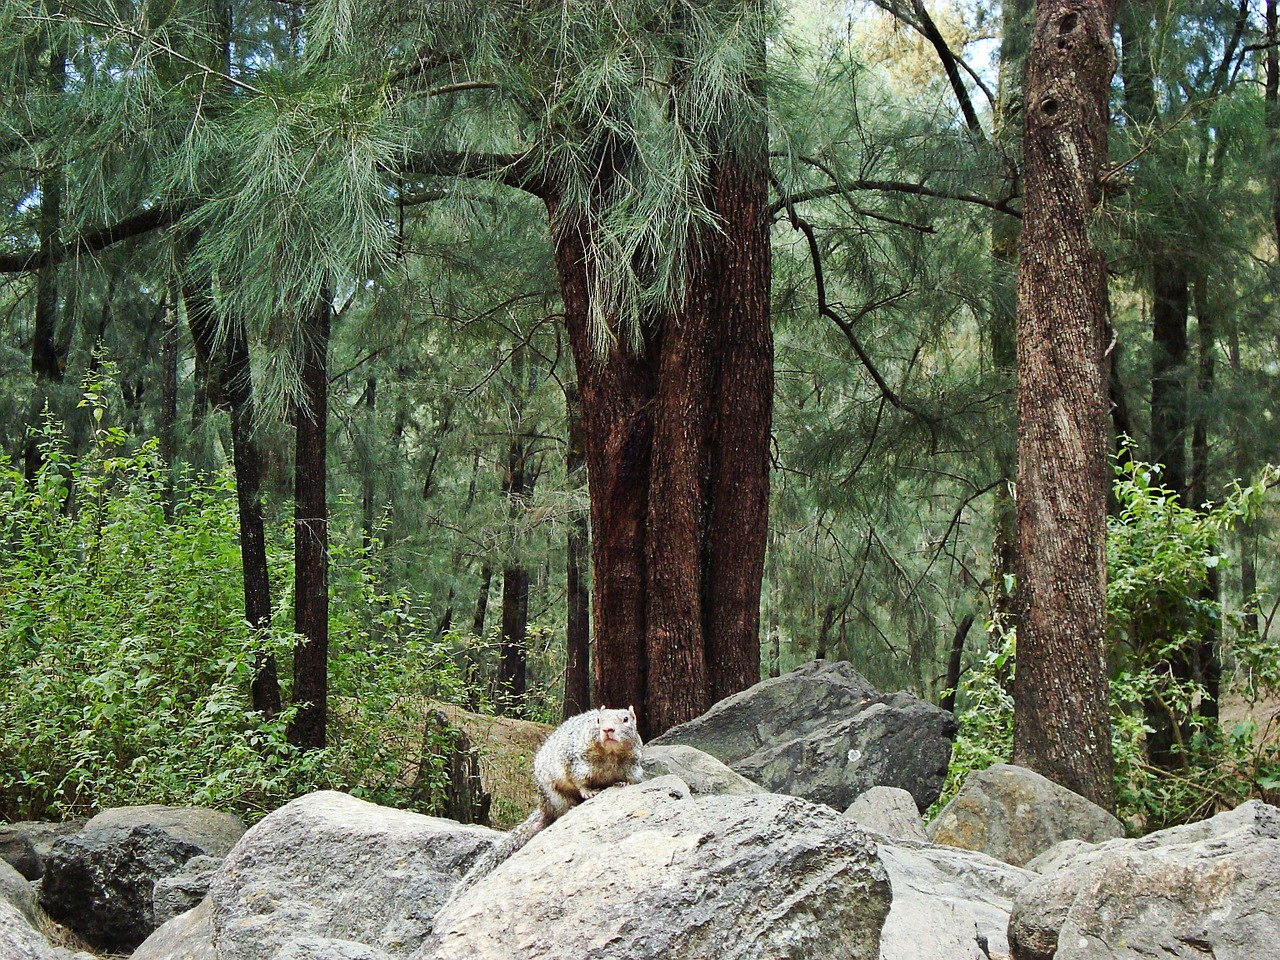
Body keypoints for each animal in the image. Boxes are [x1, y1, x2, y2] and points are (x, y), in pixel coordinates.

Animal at [453, 706, 645, 896]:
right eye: (598, 720)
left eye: (626, 719)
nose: (607, 729)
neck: (610, 754)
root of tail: (544, 808)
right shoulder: (576, 762)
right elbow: (579, 781)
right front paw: (589, 792)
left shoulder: (633, 765)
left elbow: (632, 779)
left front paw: (622, 783)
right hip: (554, 796)